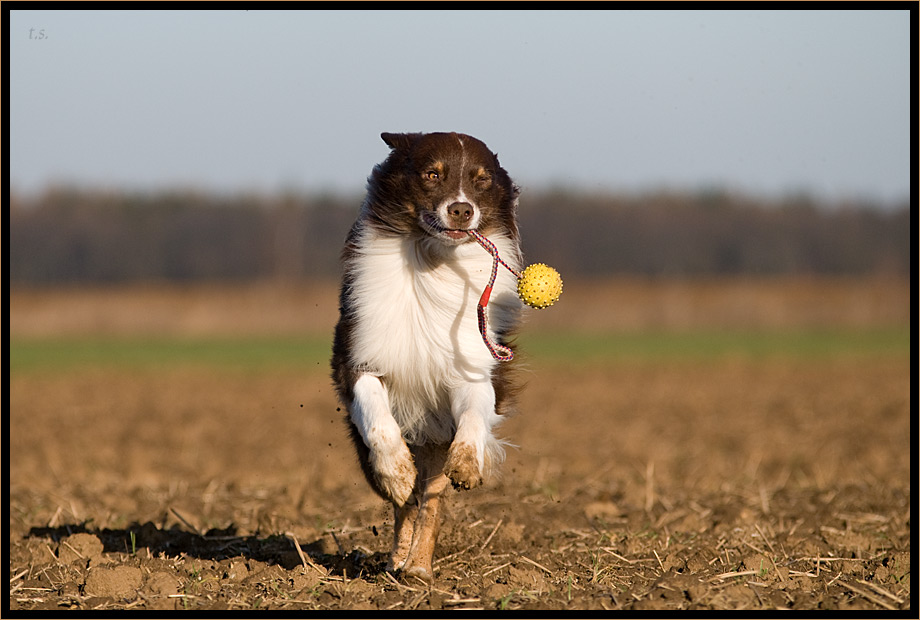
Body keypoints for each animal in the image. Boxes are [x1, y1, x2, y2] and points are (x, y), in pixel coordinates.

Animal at [330, 131, 520, 580]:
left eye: (482, 180)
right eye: (432, 174)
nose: (461, 210)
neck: (433, 259)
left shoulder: (473, 368)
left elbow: (474, 416)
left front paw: (468, 462)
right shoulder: (358, 358)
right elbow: (377, 415)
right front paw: (397, 471)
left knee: (430, 502)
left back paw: (417, 567)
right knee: (405, 505)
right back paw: (399, 556)